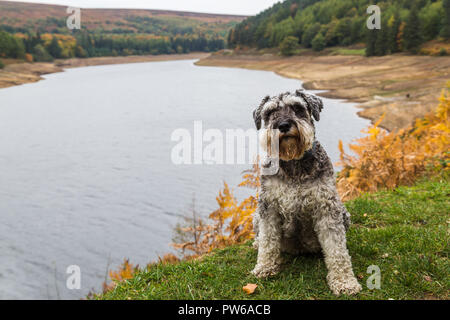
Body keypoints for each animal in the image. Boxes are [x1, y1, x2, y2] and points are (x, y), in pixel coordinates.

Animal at [253, 89, 362, 296]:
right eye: (270, 113)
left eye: (297, 107)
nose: (283, 125)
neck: (293, 164)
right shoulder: (268, 207)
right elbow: (268, 240)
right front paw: (264, 267)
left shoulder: (327, 208)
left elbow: (337, 249)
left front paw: (344, 281)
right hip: (256, 216)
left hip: (344, 213)